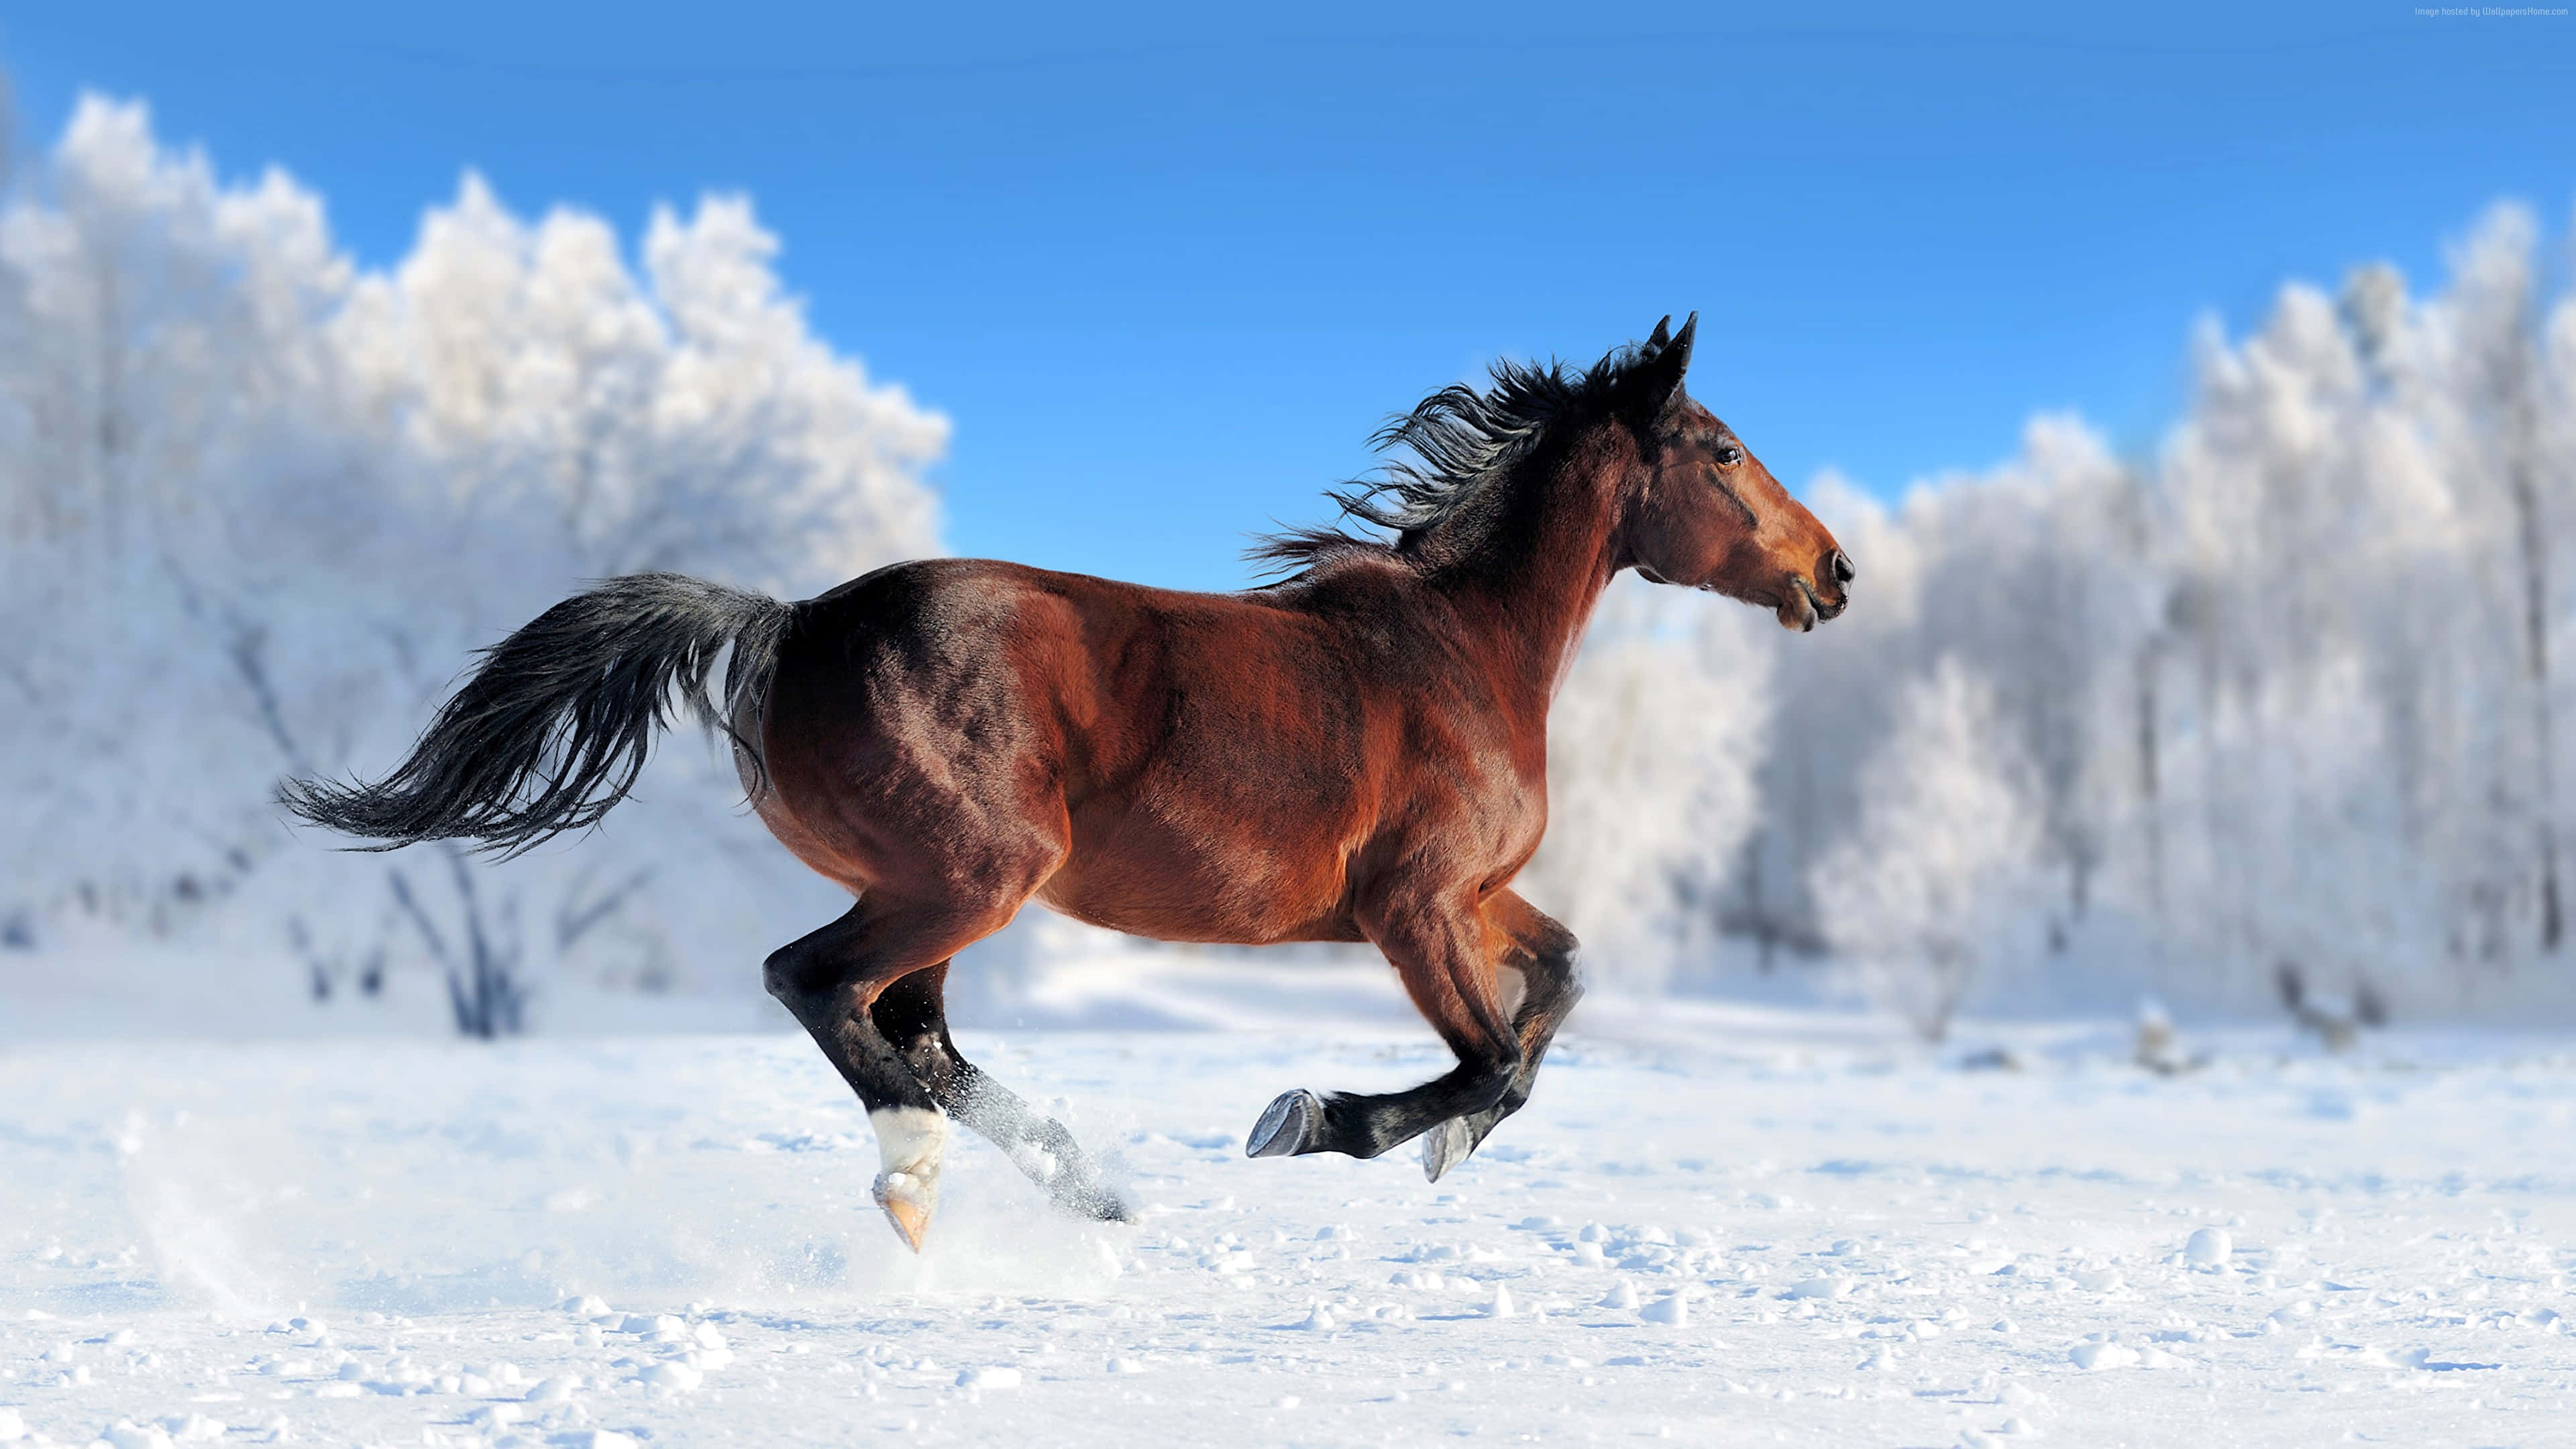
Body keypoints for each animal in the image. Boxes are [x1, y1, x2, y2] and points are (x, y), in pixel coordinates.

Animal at [282, 314, 1852, 1250]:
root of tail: (791, 622)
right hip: (969, 876)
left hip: (934, 888)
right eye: (1722, 450)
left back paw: (1082, 1187)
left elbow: (1558, 990)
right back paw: (929, 1177)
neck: (1462, 647)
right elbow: (1494, 1063)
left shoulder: (1474, 896)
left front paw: (1432, 1149)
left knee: (909, 1028)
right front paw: (1315, 1123)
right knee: (823, 989)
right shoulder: (1413, 907)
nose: (1834, 571)